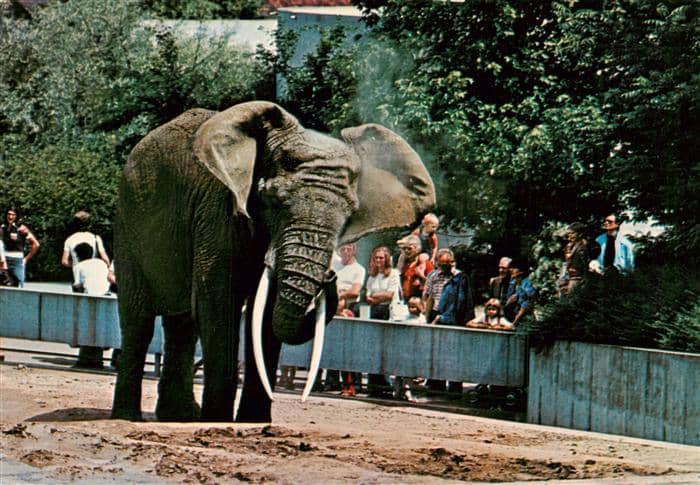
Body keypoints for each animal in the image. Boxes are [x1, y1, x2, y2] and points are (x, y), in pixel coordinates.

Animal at [111, 101, 435, 423]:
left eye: (350, 212)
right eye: (272, 200)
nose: (331, 277)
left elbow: (265, 313)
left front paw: (253, 423)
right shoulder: (219, 209)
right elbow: (218, 300)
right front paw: (218, 420)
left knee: (181, 324)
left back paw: (180, 417)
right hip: (128, 222)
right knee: (139, 321)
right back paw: (129, 417)